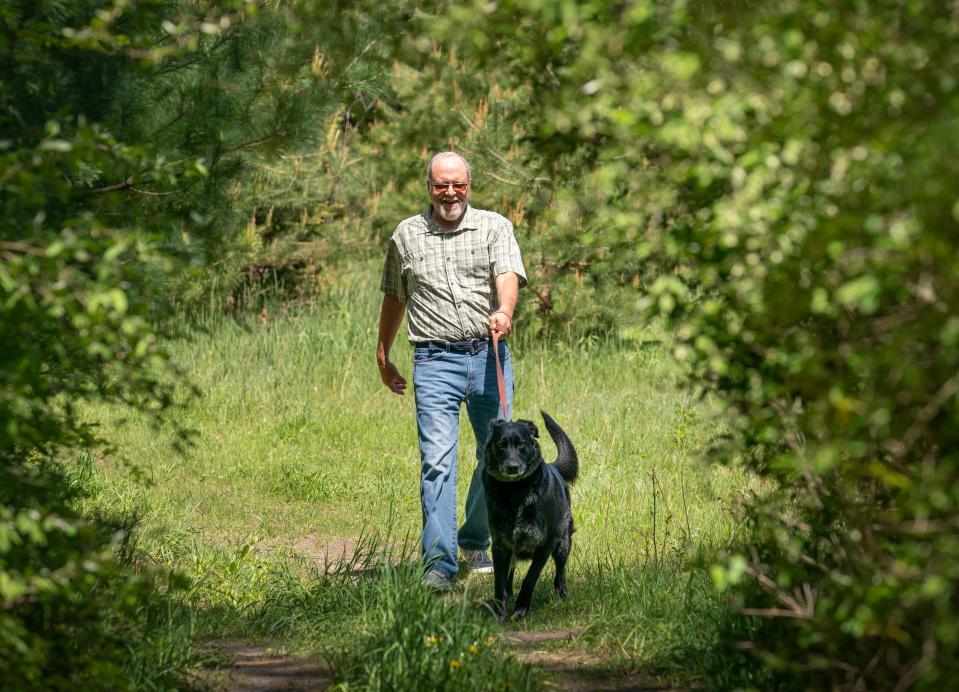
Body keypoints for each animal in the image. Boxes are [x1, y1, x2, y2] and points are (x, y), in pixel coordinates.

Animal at [484, 408, 572, 620]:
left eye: (521, 445)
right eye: (501, 445)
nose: (512, 467)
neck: (515, 491)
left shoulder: (545, 545)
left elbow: (530, 578)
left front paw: (521, 608)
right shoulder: (501, 546)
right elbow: (499, 582)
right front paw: (500, 611)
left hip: (563, 543)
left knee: (560, 572)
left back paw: (562, 593)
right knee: (510, 572)